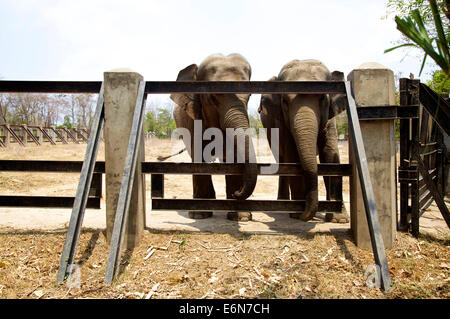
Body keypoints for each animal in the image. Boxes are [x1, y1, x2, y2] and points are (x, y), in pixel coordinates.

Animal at [171, 53, 258, 222]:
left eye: (250, 96)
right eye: (212, 98)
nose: (237, 193)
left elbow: (233, 157)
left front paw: (241, 217)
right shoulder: (193, 119)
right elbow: (199, 155)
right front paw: (199, 215)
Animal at [258, 60, 350, 224]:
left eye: (323, 99)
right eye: (285, 101)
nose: (306, 214)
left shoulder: (330, 120)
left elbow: (330, 154)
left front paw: (339, 219)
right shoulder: (281, 122)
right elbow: (292, 153)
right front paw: (297, 214)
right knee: (282, 159)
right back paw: (282, 205)